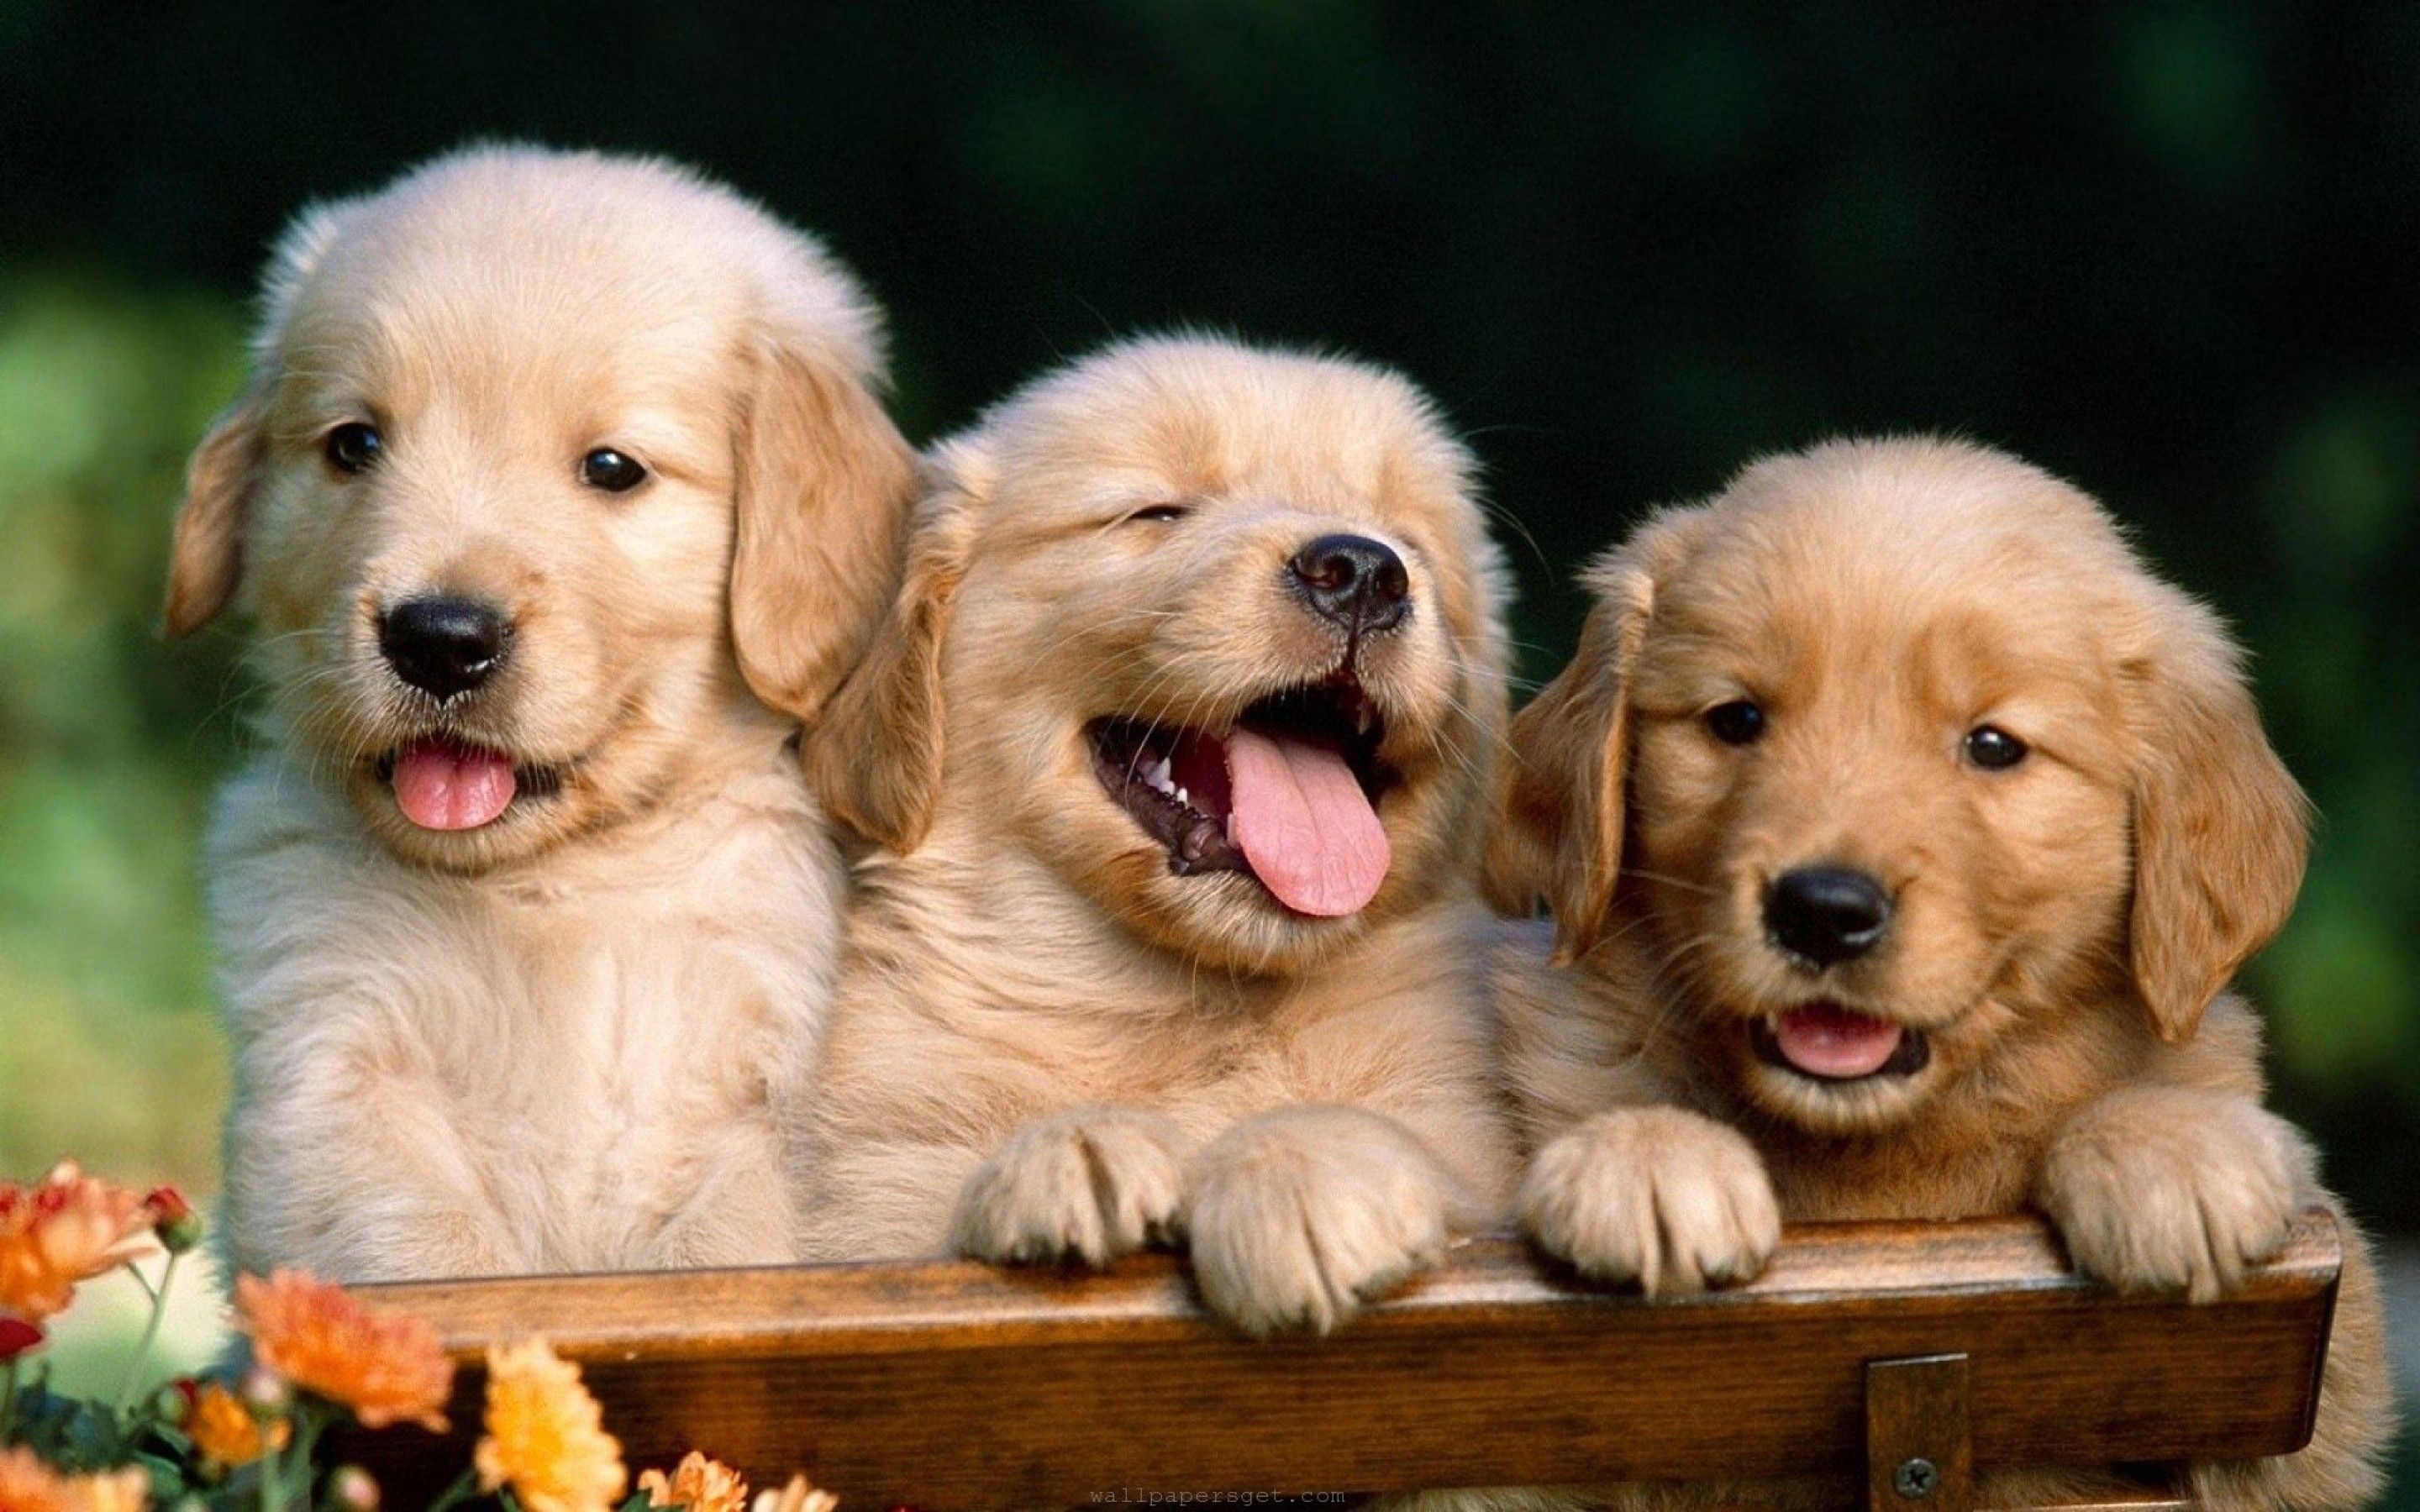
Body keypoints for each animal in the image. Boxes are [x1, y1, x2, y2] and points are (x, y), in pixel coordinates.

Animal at [163, 144, 914, 1277]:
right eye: (354, 445)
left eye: (612, 469)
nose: (438, 638)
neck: (558, 889)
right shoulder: (333, 1074)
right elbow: (425, 1257)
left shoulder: (784, 1107)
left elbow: (729, 1252)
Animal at [788, 333, 1510, 1335]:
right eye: (1154, 512)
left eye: (1411, 543)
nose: (1364, 571)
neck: (1179, 1006)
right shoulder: (873, 1196)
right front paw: (1074, 1153)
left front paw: (1300, 1175)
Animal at [1481, 433, 2391, 1499]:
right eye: (1736, 720)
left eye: (1992, 745)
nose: (1824, 912)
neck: (1879, 1173)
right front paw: (1648, 1158)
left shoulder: (2319, 1371)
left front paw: (2169, 1149)